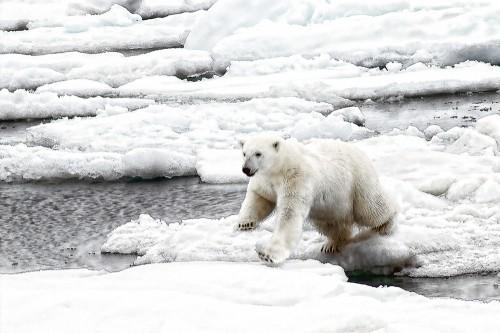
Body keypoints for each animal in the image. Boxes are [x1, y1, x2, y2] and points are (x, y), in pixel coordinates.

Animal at [235, 132, 398, 264]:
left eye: (258, 153)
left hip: (357, 182)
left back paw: (386, 224)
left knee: (370, 209)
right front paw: (244, 223)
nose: (246, 169)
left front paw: (267, 255)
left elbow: (289, 214)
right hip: (332, 204)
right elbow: (260, 198)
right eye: (244, 153)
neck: (280, 167)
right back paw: (331, 244)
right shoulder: (265, 180)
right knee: (329, 222)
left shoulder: (295, 179)